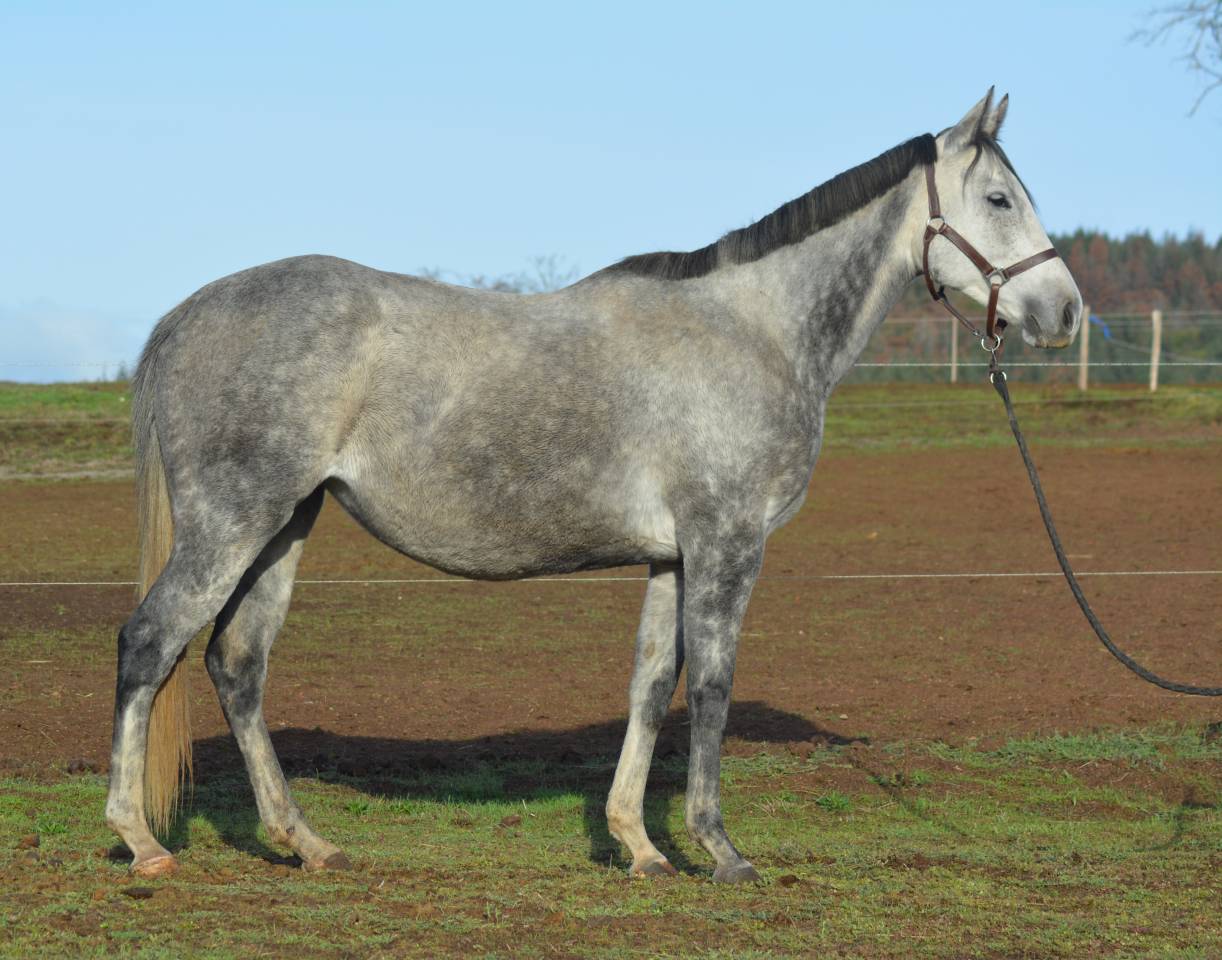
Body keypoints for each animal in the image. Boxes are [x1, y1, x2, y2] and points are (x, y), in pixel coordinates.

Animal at [107, 89, 1082, 881]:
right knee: (150, 643)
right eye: (999, 199)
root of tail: (185, 314)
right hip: (231, 524)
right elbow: (713, 686)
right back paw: (142, 842)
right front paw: (719, 850)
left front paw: (640, 846)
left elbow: (651, 687)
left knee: (237, 665)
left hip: (285, 526)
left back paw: (305, 842)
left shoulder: (673, 557)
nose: (1066, 311)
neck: (756, 329)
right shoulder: (727, 545)